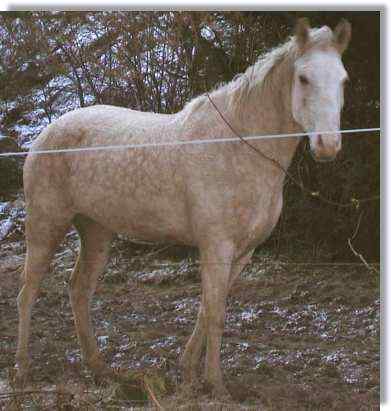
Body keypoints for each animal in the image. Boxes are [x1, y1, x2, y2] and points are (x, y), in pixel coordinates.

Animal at [16, 20, 352, 400]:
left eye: (343, 80)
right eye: (303, 78)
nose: (327, 146)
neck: (237, 147)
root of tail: (45, 133)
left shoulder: (243, 252)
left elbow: (207, 309)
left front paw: (190, 373)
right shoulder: (217, 245)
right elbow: (216, 313)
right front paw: (216, 385)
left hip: (96, 231)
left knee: (79, 290)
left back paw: (100, 369)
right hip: (46, 225)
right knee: (28, 292)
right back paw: (23, 369)